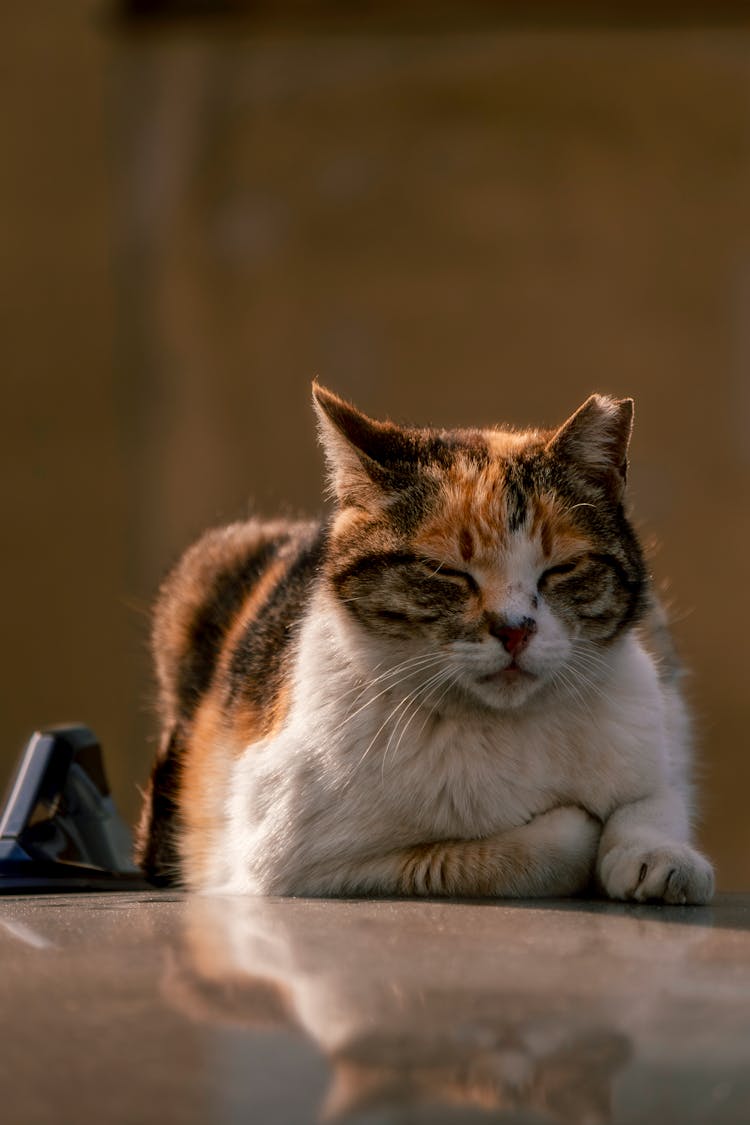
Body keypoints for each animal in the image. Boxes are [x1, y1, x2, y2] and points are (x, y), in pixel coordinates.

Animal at [134, 382, 715, 900]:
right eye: (445, 571)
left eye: (562, 569)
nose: (515, 630)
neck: (509, 727)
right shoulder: (295, 862)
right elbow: (495, 853)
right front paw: (577, 830)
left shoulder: (652, 722)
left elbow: (655, 799)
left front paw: (659, 857)